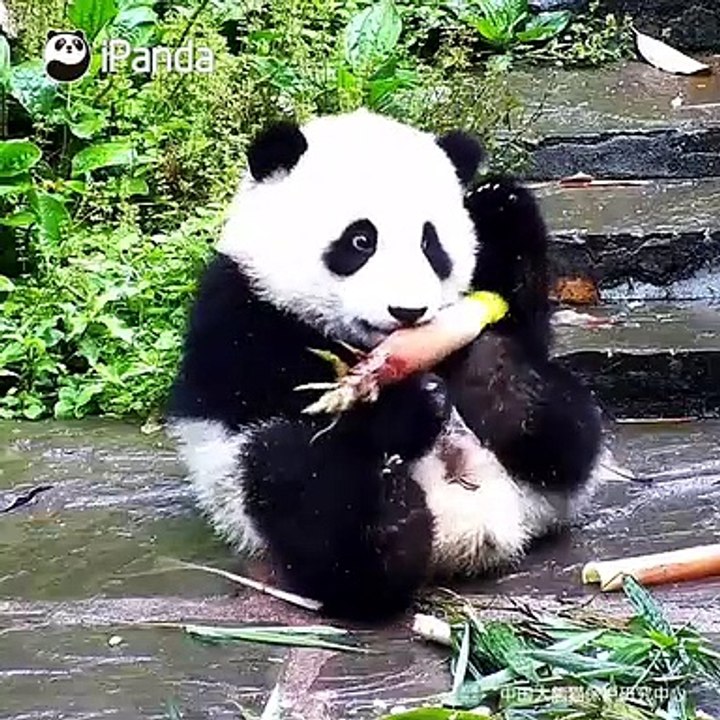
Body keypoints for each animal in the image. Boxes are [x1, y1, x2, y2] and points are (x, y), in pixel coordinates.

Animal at [167, 109, 603, 620]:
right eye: (361, 240)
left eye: (431, 244)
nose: (407, 311)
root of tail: (469, 535)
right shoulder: (240, 310)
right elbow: (273, 392)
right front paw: (410, 405)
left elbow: (520, 315)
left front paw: (500, 205)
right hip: (246, 491)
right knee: (297, 477)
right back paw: (387, 534)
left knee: (566, 427)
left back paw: (498, 383)